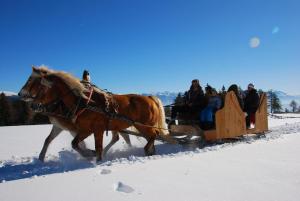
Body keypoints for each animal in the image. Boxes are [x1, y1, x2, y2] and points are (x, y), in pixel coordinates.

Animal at [19, 66, 173, 161]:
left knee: (154, 135)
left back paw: (147, 150)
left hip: (144, 125)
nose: (20, 94)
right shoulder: (82, 129)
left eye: (31, 80)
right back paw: (150, 151)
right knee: (147, 137)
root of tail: (150, 98)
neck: (82, 102)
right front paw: (91, 154)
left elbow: (91, 146)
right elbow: (72, 143)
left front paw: (94, 156)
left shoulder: (94, 129)